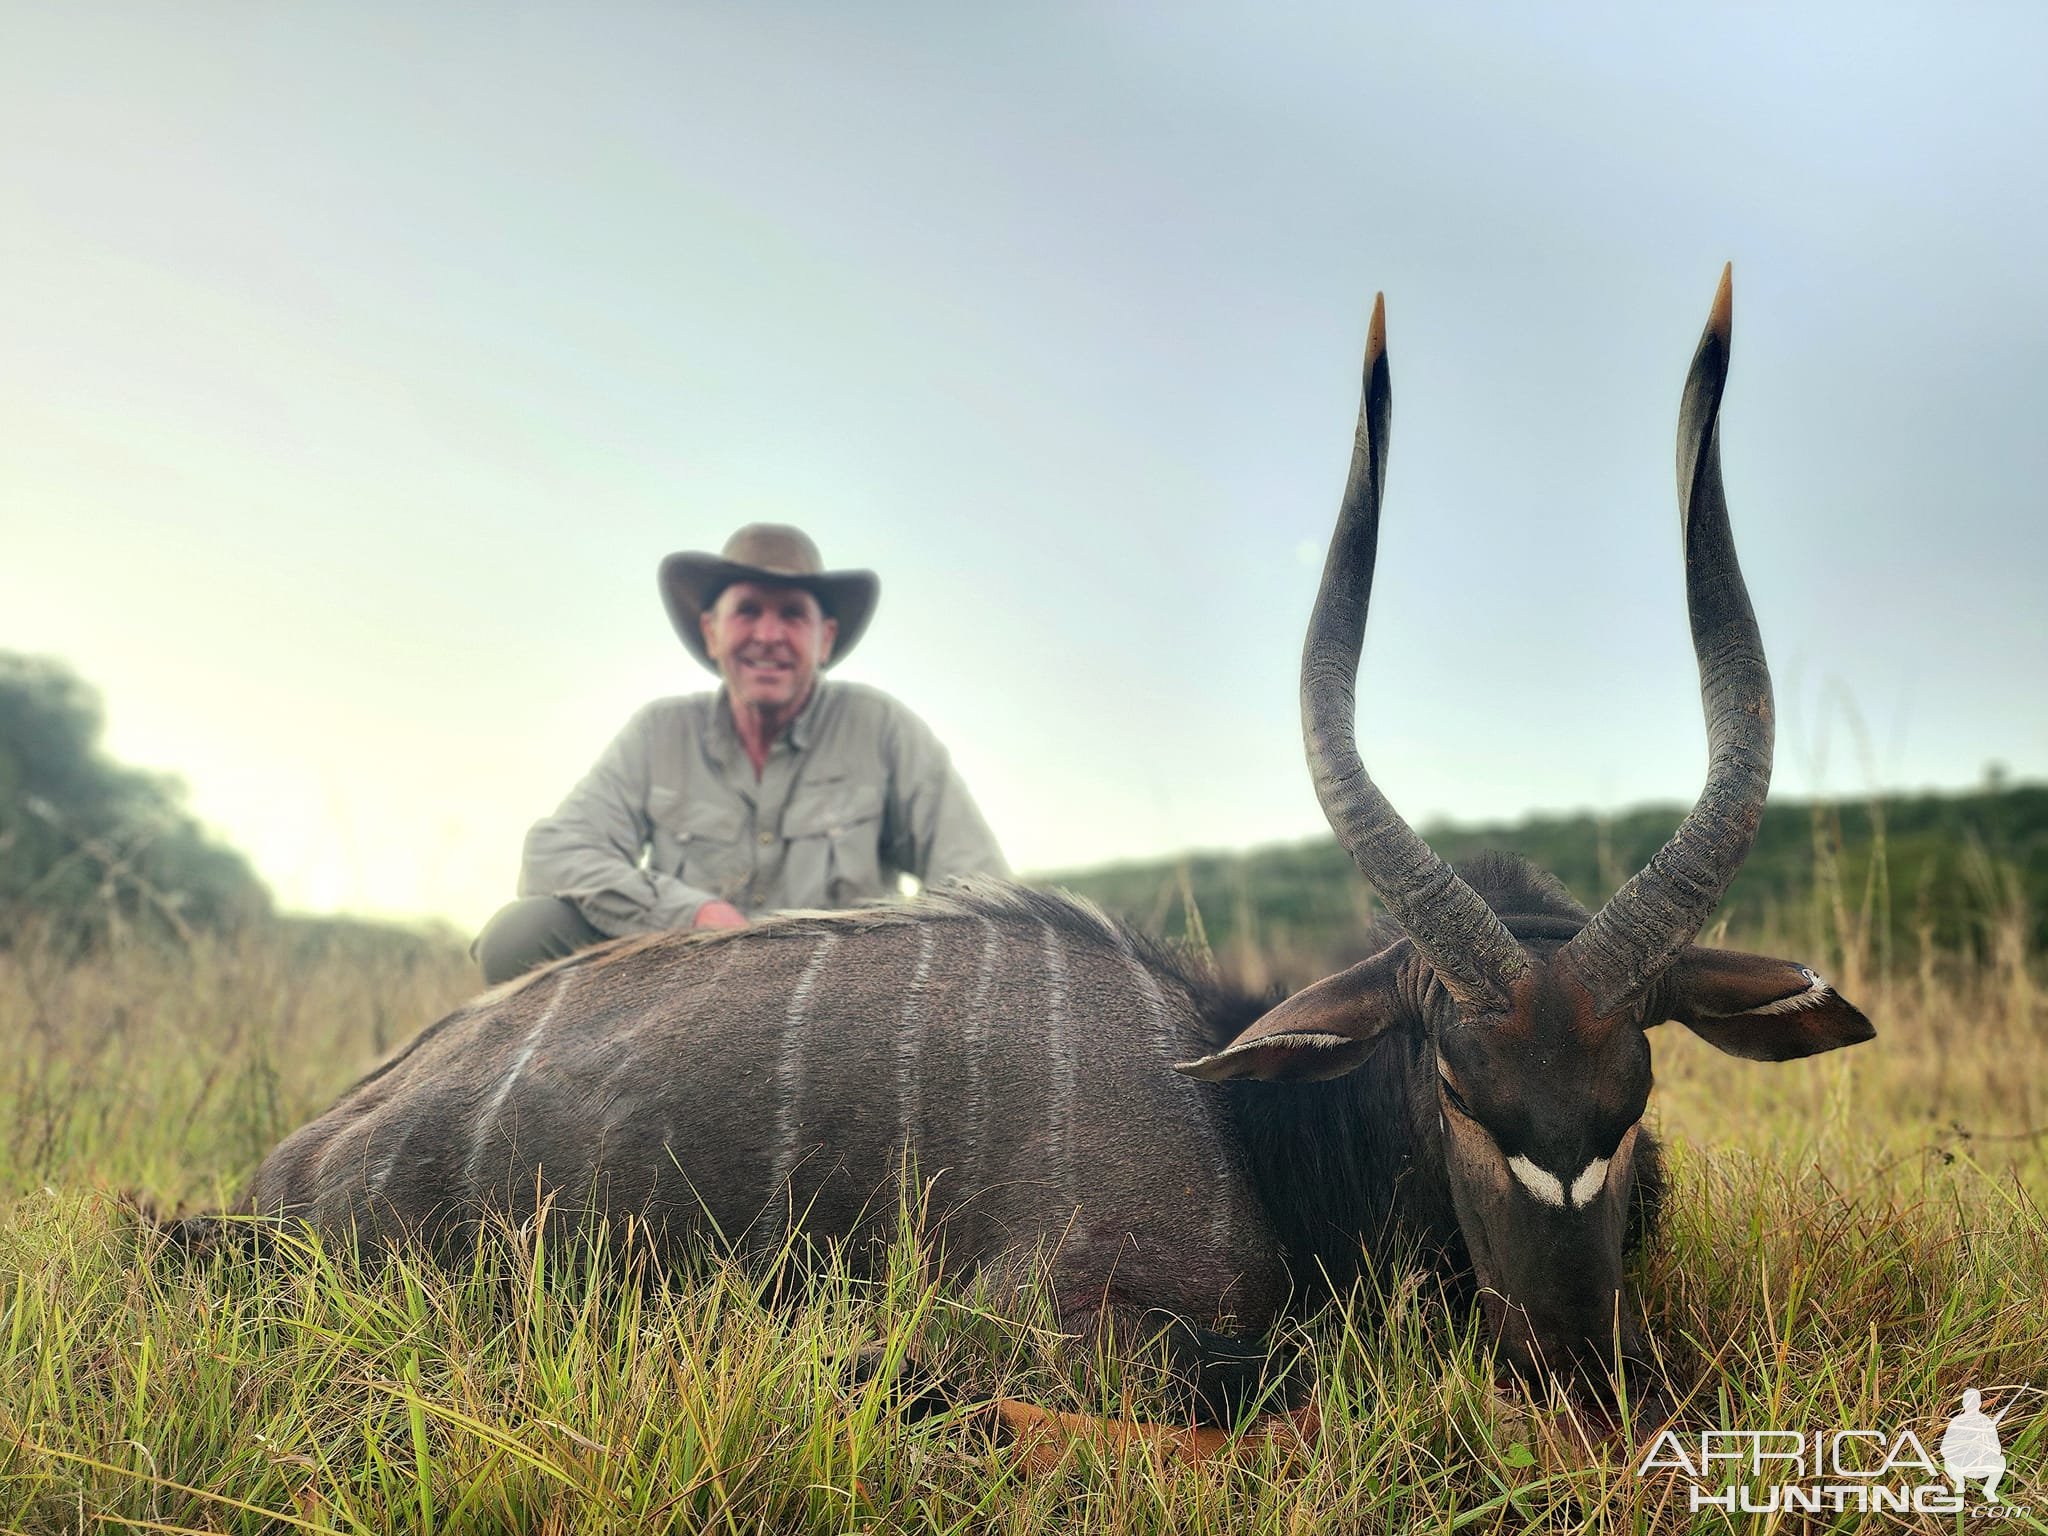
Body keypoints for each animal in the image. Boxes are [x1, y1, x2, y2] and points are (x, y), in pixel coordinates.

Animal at [192, 268, 1875, 1433]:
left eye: (1638, 1094)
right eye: (1455, 1085)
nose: (1581, 1381)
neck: (1253, 1122)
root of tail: (291, 1166)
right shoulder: (1071, 1321)